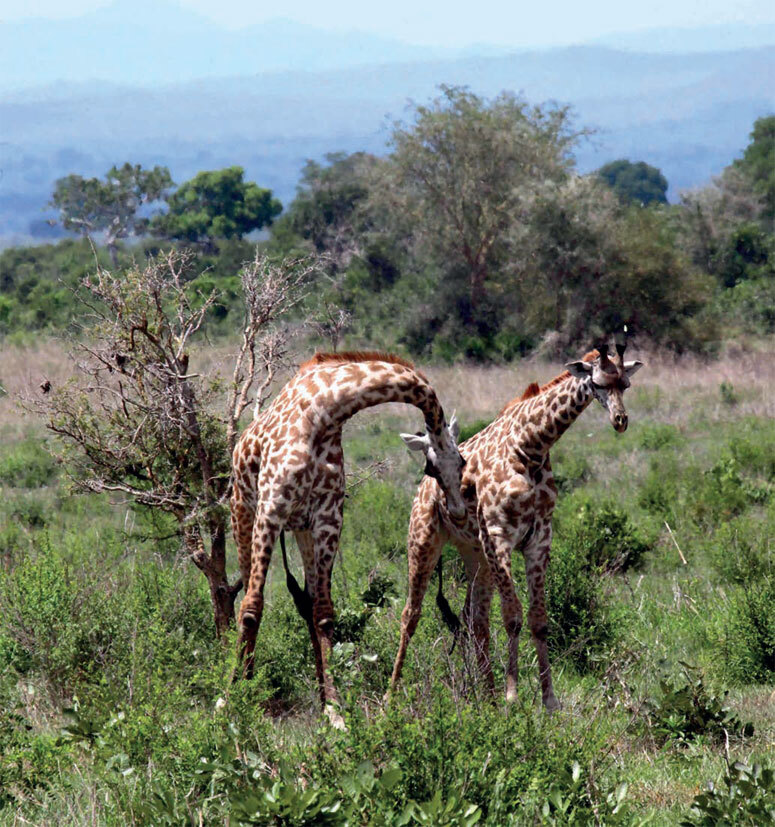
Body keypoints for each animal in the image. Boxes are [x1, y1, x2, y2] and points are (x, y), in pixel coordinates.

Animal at [227, 352, 464, 728]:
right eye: (432, 469)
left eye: (463, 462)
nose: (456, 510)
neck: (323, 412)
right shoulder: (271, 506)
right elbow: (251, 607)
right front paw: (230, 699)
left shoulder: (328, 516)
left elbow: (324, 612)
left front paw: (334, 710)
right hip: (243, 510)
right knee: (247, 593)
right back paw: (246, 679)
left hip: (302, 529)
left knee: (308, 603)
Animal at [392, 342, 644, 712]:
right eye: (598, 383)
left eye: (625, 384)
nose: (620, 421)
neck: (531, 447)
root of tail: (423, 485)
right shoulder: (499, 536)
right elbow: (512, 616)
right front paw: (513, 694)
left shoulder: (538, 539)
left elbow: (539, 620)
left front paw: (548, 699)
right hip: (423, 538)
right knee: (411, 613)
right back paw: (391, 695)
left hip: (474, 553)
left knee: (475, 618)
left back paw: (486, 694)